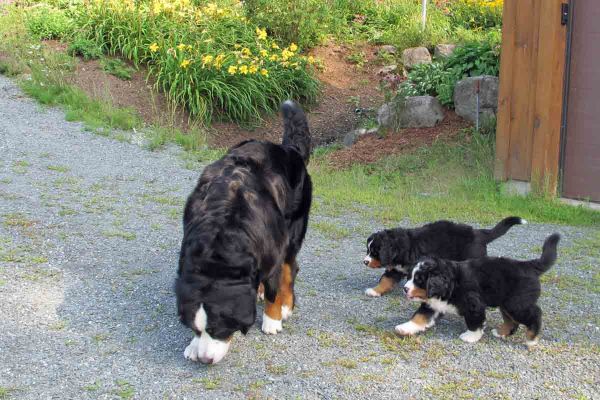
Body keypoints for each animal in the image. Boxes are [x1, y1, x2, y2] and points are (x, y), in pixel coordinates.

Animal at [176, 101, 312, 366]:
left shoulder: (273, 253)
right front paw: (192, 346)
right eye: (196, 330)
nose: (205, 359)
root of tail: (288, 149)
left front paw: (272, 320)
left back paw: (286, 305)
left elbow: (273, 290)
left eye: (219, 330)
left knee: (291, 269)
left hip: (293, 232)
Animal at [360, 216, 524, 296]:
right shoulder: (395, 269)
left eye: (374, 252)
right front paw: (374, 291)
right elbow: (385, 280)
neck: (401, 246)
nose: (365, 262)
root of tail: (479, 233)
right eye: (368, 250)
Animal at [396, 233, 560, 348]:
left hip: (516, 304)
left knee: (535, 314)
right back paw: (501, 333)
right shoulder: (433, 305)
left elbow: (474, 322)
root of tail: (529, 265)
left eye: (419, 280)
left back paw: (531, 339)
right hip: (505, 303)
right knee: (511, 321)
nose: (405, 289)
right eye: (409, 277)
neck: (450, 284)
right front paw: (404, 328)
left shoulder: (474, 304)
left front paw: (470, 336)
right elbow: (419, 317)